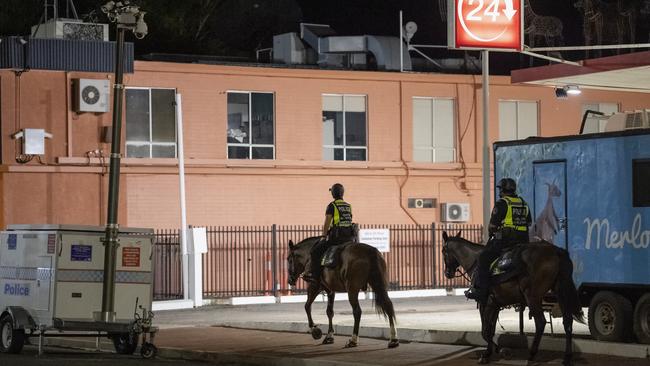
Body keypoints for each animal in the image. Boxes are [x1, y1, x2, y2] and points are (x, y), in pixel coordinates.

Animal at [440, 232, 584, 366]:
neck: (475, 260)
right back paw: (567, 358)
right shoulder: (495, 305)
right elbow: (491, 329)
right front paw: (490, 353)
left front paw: (496, 351)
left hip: (532, 297)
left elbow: (485, 331)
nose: (447, 273)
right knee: (567, 321)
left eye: (443, 251)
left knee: (541, 323)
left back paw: (531, 355)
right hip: (560, 292)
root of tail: (555, 251)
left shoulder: (484, 303)